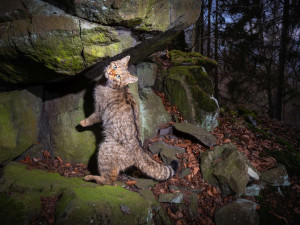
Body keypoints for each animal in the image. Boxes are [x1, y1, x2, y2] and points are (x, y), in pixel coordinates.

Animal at [81, 55, 177, 185]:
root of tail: (139, 150)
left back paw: (92, 177)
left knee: (108, 181)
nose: (110, 72)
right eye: (114, 66)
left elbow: (91, 118)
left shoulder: (99, 110)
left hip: (104, 151)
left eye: (118, 76)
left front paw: (82, 123)